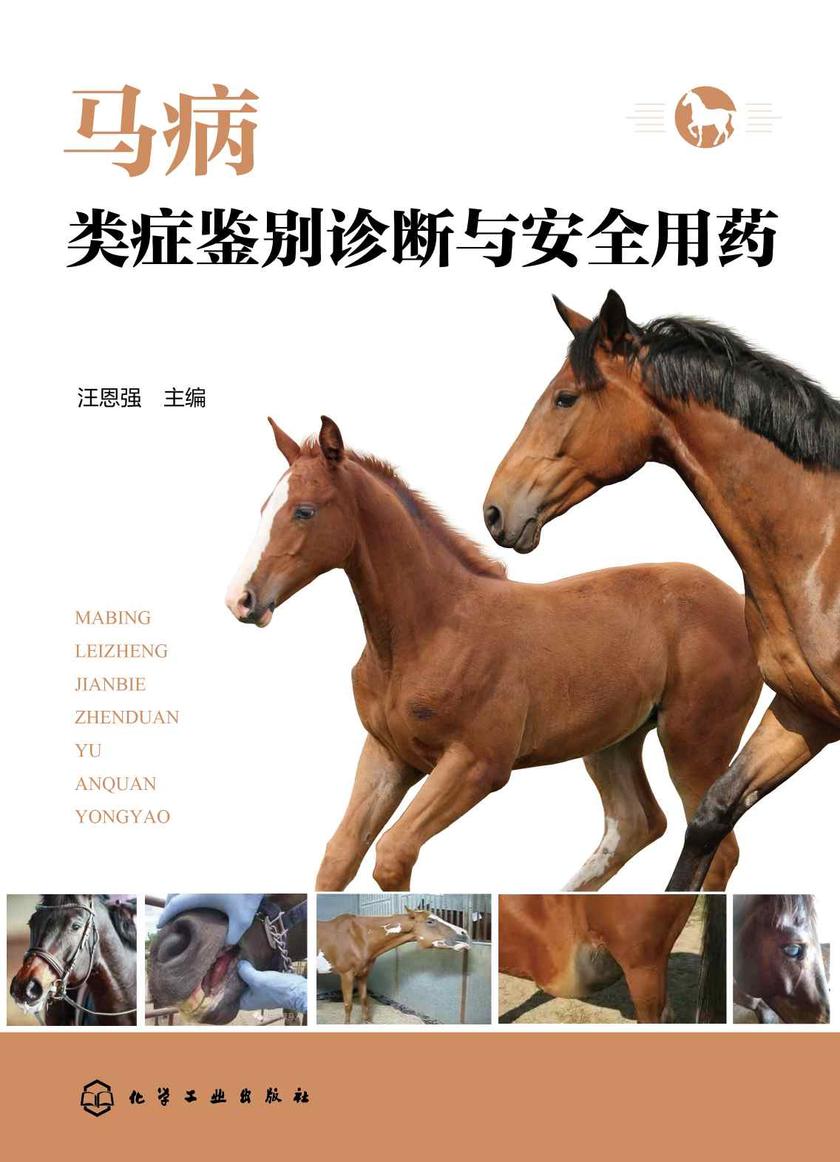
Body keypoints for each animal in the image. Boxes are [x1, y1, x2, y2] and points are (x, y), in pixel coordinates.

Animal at [226, 416, 762, 891]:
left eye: (304, 511)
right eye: (262, 507)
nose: (241, 600)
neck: (426, 632)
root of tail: (740, 603)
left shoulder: (478, 763)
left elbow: (394, 854)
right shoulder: (387, 753)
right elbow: (339, 857)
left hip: (693, 742)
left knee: (717, 849)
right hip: (613, 742)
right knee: (636, 824)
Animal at [317, 907, 470, 1023]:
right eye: (430, 921)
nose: (465, 934)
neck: (357, 937)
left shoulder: (363, 974)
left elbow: (364, 999)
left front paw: (367, 1021)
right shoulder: (346, 975)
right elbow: (348, 1005)